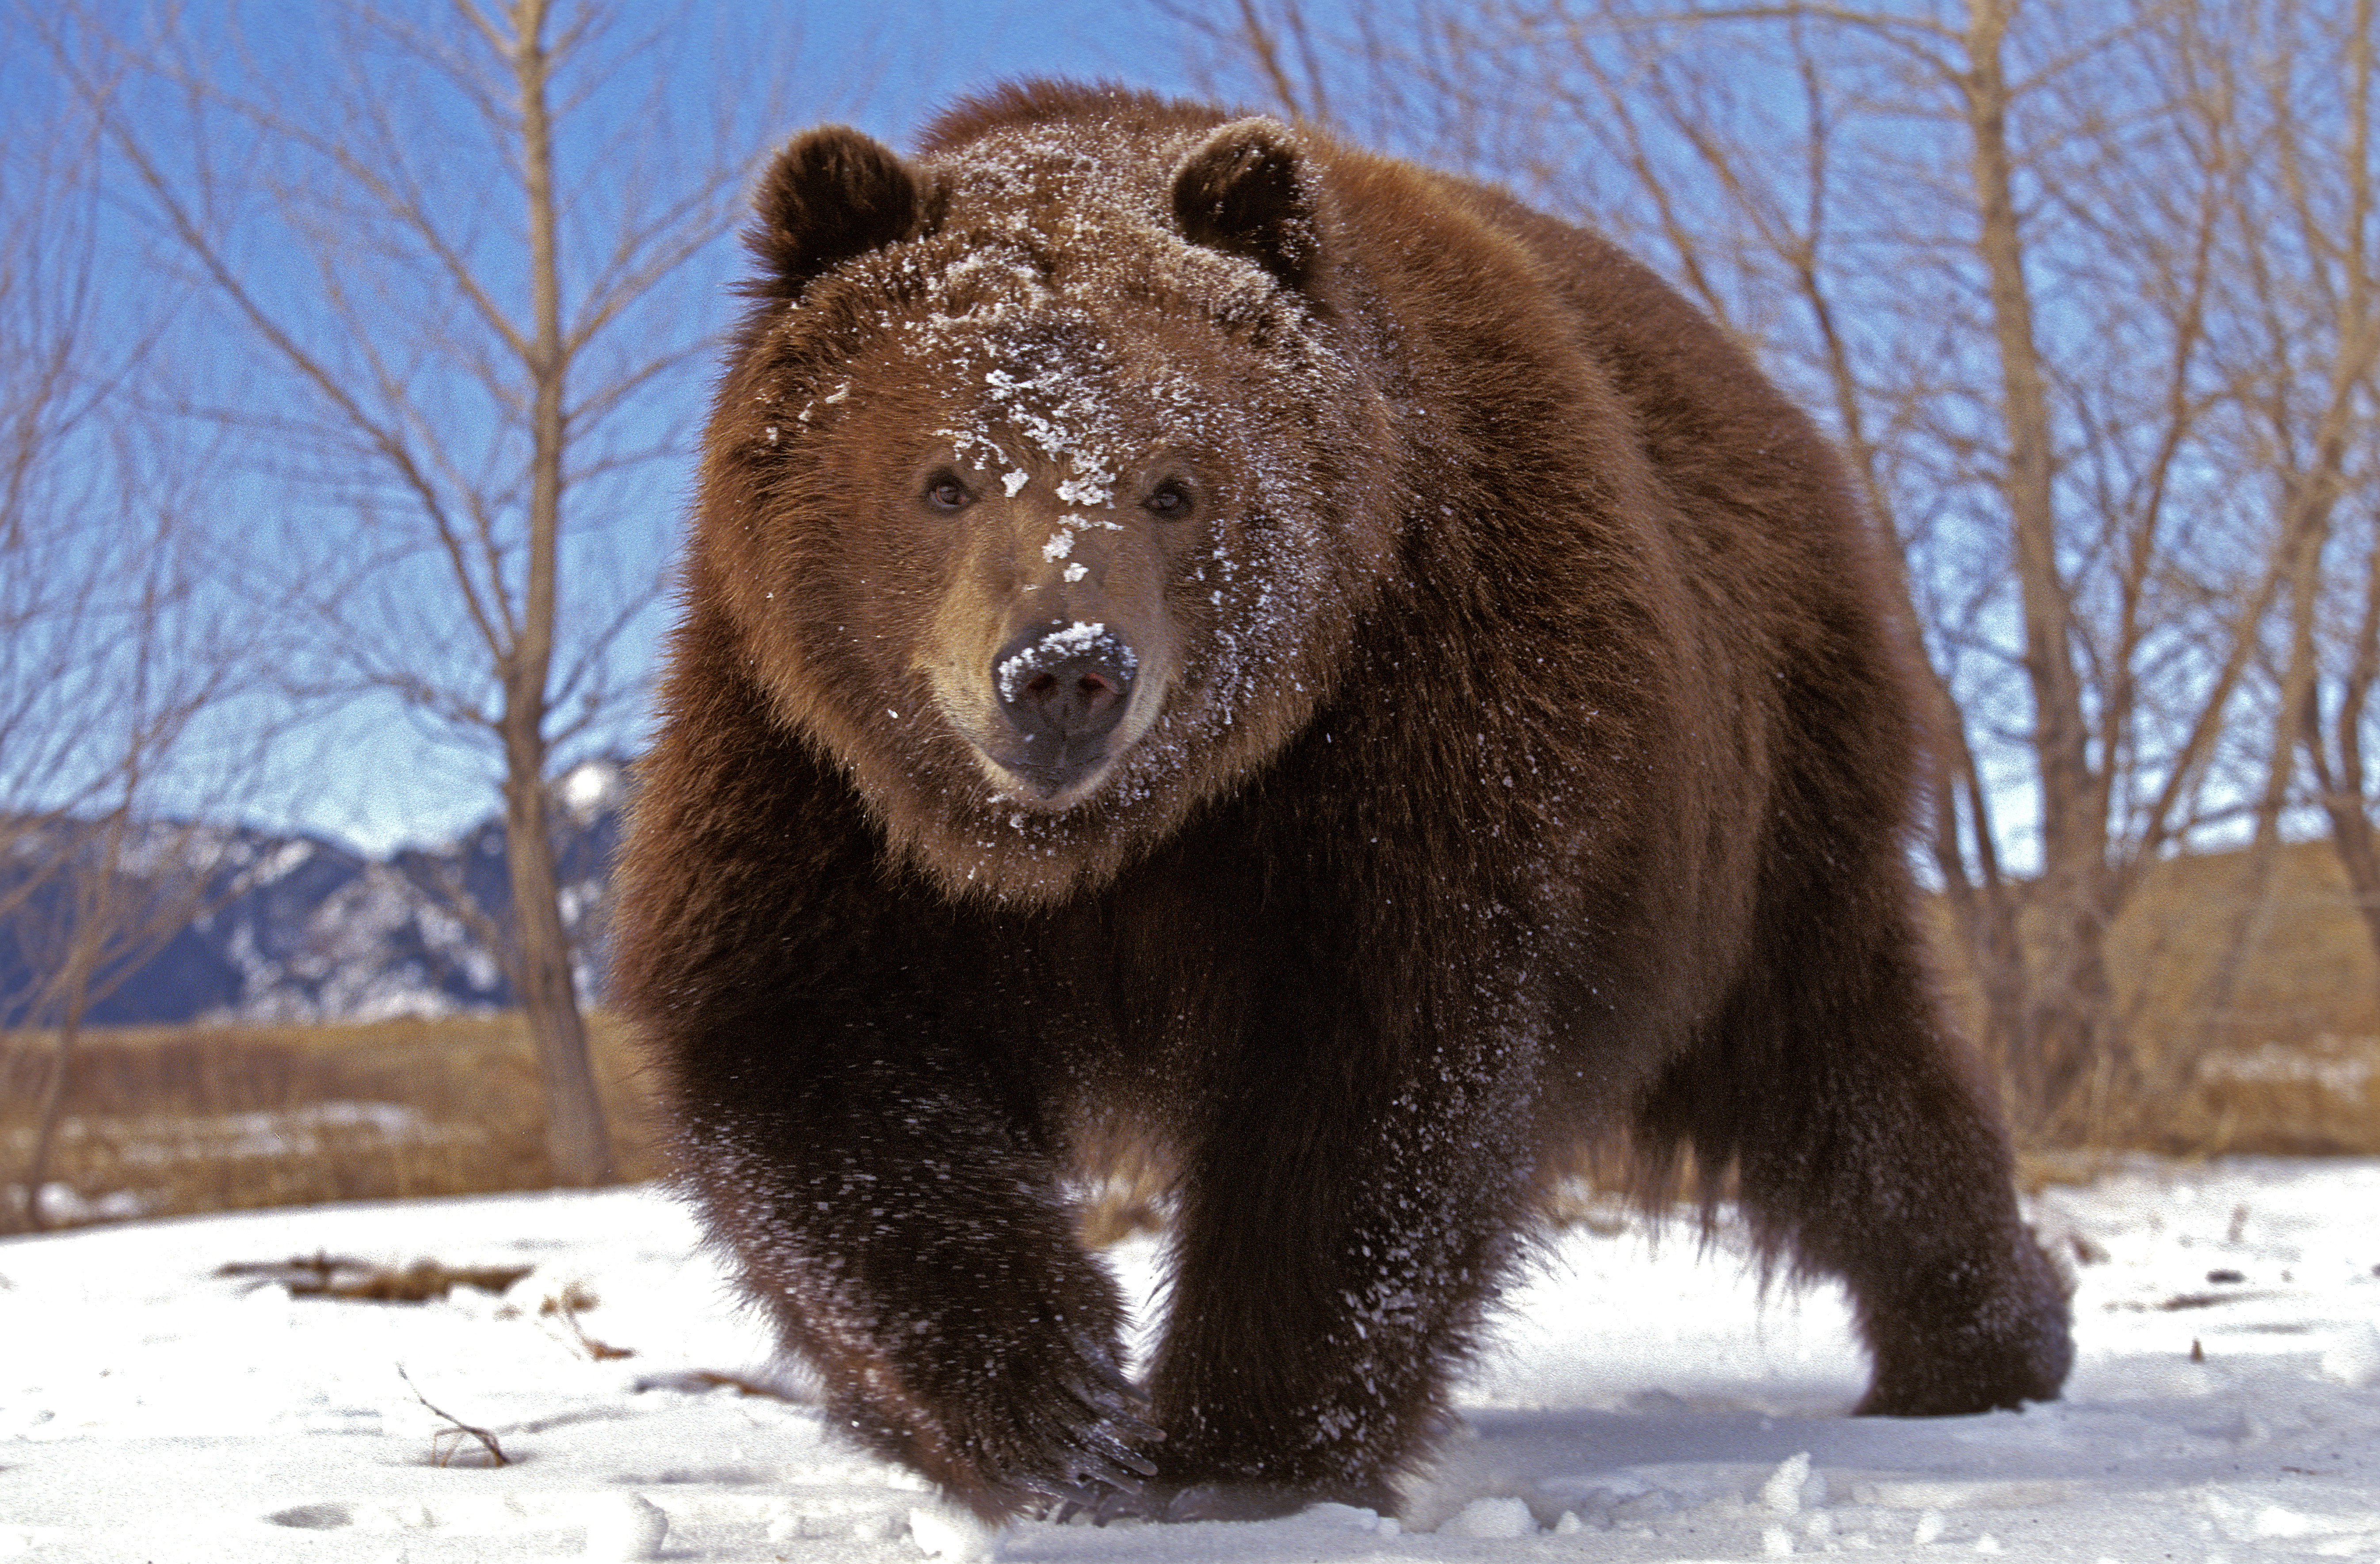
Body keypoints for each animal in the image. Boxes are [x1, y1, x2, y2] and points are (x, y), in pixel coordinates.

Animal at [608, 79, 2072, 1527]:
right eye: (945, 476)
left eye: (1174, 482)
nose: (1065, 670)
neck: (1109, 845)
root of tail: (1783, 422)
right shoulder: (815, 777)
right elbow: (808, 1052)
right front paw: (1052, 1402)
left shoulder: (1405, 728)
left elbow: (1373, 1103)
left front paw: (1241, 1450)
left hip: (1763, 793)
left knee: (1840, 1071)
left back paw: (1985, 1346)